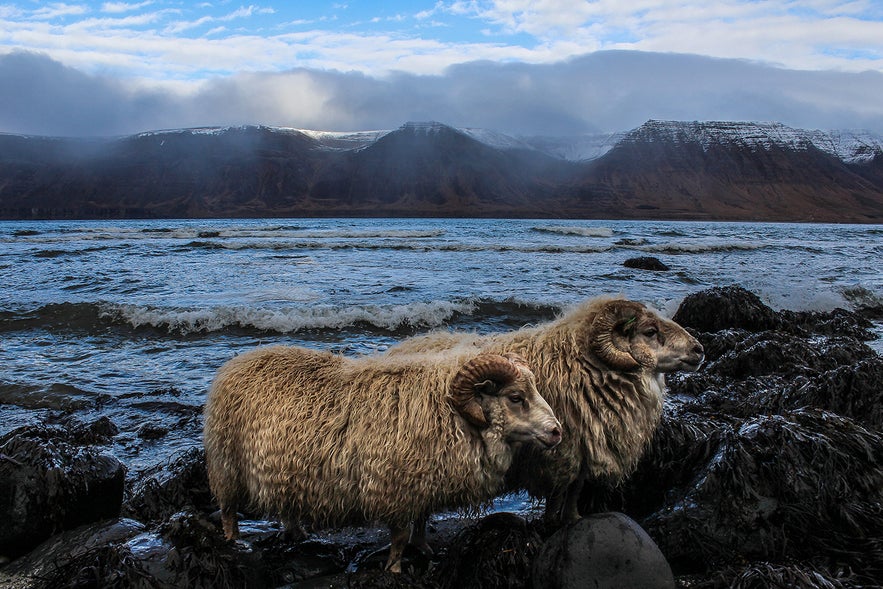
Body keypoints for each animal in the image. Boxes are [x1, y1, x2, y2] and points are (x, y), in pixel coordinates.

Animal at [202, 344, 560, 568]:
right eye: (516, 397)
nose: (557, 432)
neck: (452, 413)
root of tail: (237, 363)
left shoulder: (421, 483)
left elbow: (422, 520)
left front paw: (424, 548)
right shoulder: (396, 488)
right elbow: (399, 536)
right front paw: (395, 568)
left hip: (285, 467)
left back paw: (297, 532)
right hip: (227, 462)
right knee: (228, 510)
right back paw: (235, 542)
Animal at [386, 298, 704, 524]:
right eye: (650, 331)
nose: (699, 349)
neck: (581, 363)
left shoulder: (583, 449)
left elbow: (576, 489)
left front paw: (573, 517)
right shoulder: (559, 453)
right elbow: (558, 492)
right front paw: (552, 521)